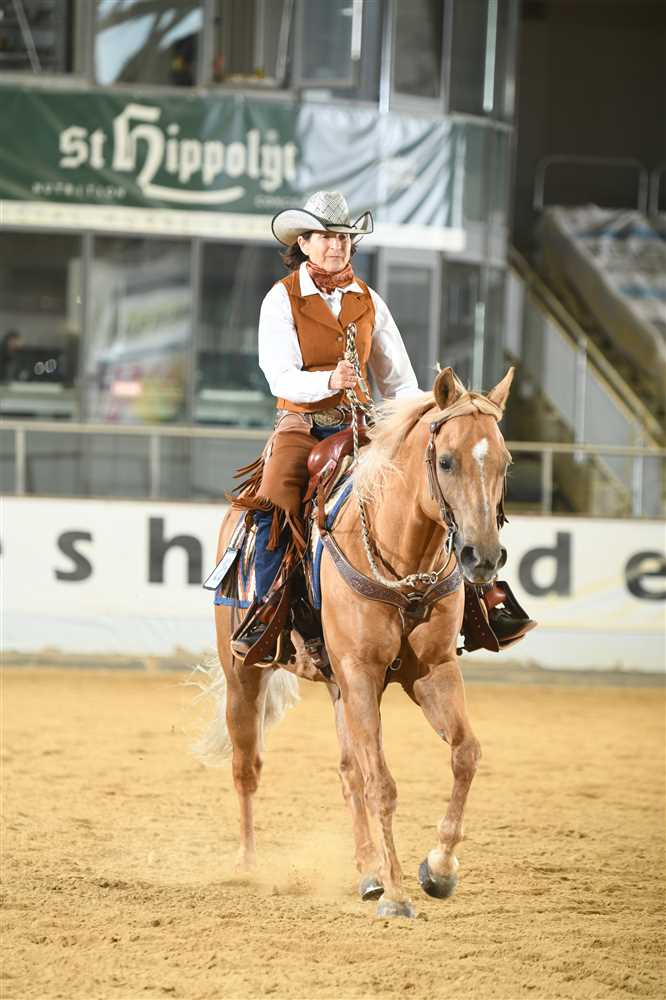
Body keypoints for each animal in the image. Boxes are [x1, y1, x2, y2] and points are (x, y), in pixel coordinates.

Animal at [208, 365, 515, 918]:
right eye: (446, 460)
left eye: (504, 462)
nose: (482, 557)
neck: (404, 559)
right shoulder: (362, 673)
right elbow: (383, 784)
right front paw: (397, 895)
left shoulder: (431, 670)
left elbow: (465, 754)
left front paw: (437, 869)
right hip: (244, 673)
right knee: (247, 765)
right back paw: (246, 866)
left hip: (338, 686)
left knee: (348, 771)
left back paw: (367, 871)